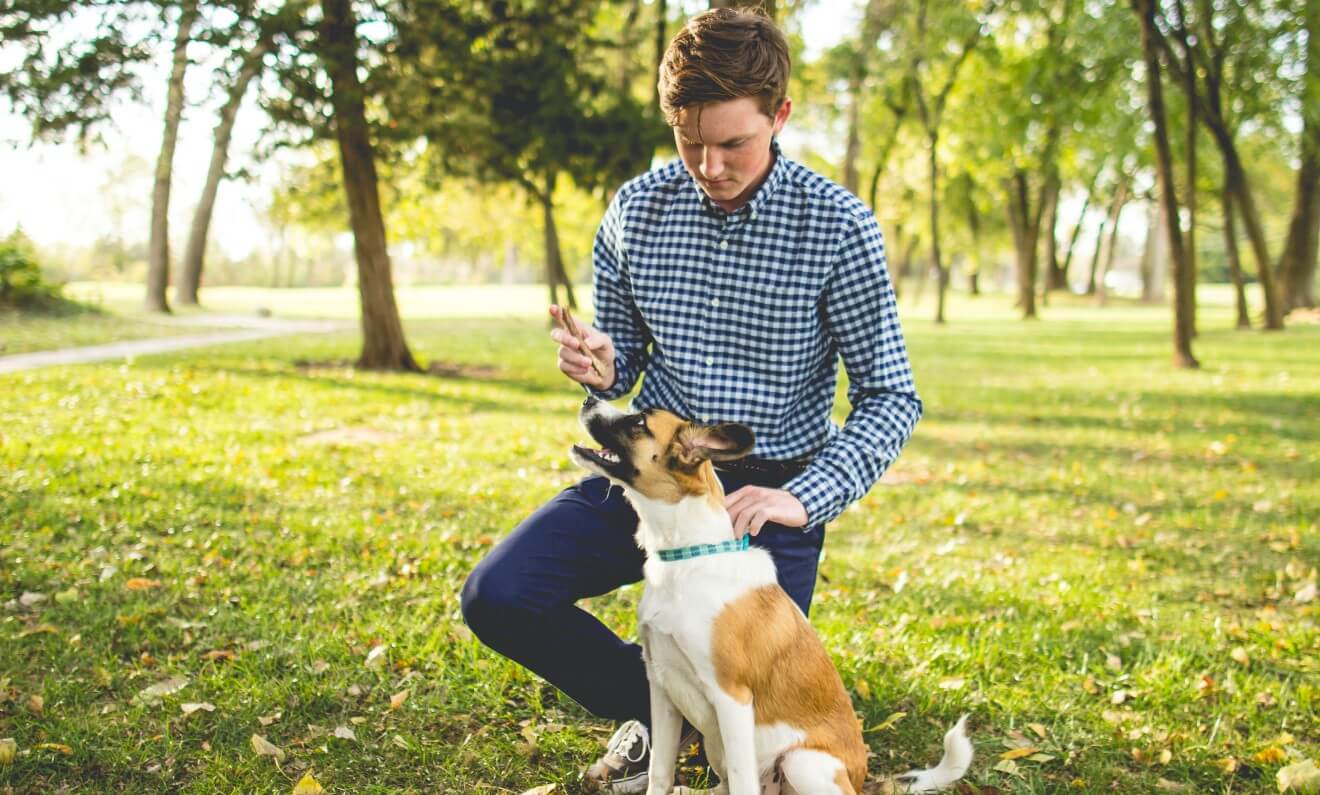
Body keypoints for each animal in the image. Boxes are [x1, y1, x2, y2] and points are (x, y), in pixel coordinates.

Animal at [572, 393, 976, 792]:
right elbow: (660, 771)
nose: (589, 398)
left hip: (801, 762)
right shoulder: (662, 687)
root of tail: (861, 782)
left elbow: (741, 780)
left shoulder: (731, 699)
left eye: (640, 421)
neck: (688, 559)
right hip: (718, 744)